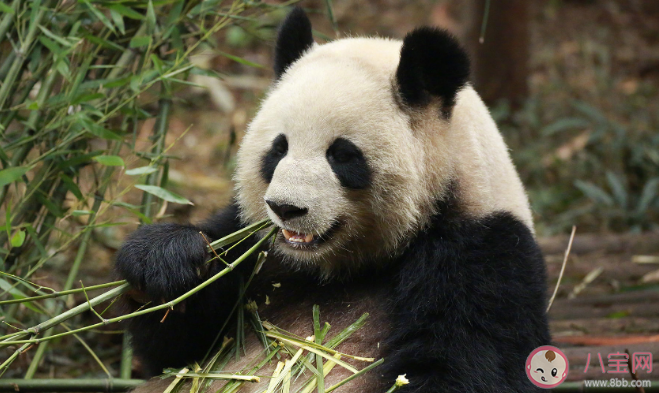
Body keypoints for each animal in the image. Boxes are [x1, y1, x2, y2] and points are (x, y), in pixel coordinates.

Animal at [117, 6, 552, 392]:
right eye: (278, 148)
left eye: (342, 155)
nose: (286, 208)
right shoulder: (256, 248)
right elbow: (177, 354)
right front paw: (163, 261)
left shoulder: (482, 258)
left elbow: (468, 367)